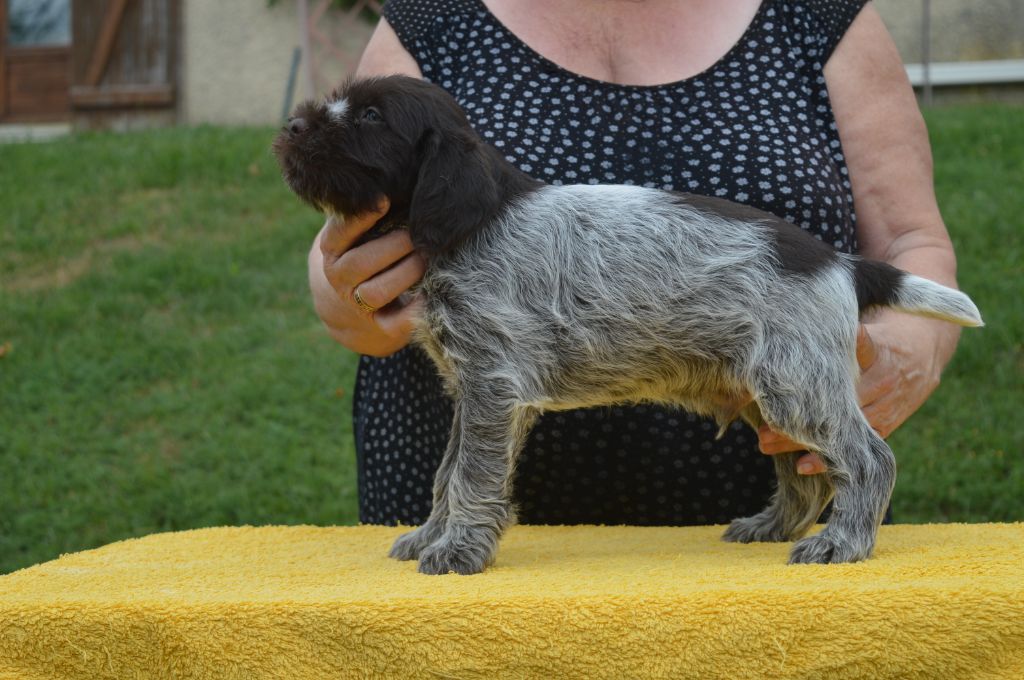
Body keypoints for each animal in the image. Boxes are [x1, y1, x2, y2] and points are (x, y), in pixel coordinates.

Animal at [274, 74, 983, 573]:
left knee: (869, 459)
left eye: (370, 117)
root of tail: (840, 263)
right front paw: (431, 534)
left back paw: (845, 543)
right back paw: (771, 527)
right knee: (804, 479)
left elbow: (469, 475)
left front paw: (458, 550)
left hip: (796, 384)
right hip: (771, 391)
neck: (471, 224)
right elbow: (447, 474)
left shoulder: (493, 385)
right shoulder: (476, 387)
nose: (291, 125)